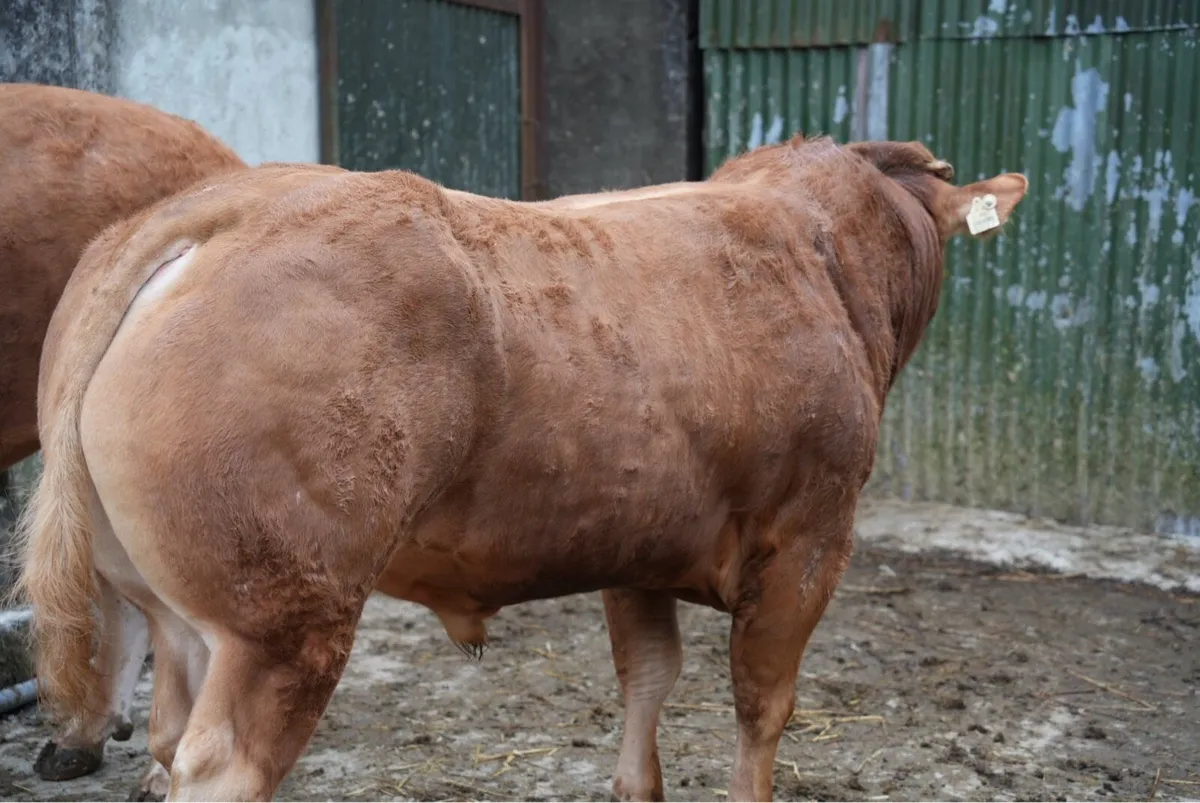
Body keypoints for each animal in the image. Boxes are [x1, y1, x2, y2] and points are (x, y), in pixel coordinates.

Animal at [15, 134, 1027, 801]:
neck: (823, 244)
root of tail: (216, 203)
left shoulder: (637, 543)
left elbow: (648, 675)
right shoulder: (808, 541)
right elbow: (760, 704)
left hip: (174, 608)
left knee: (165, 726)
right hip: (283, 616)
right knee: (222, 761)